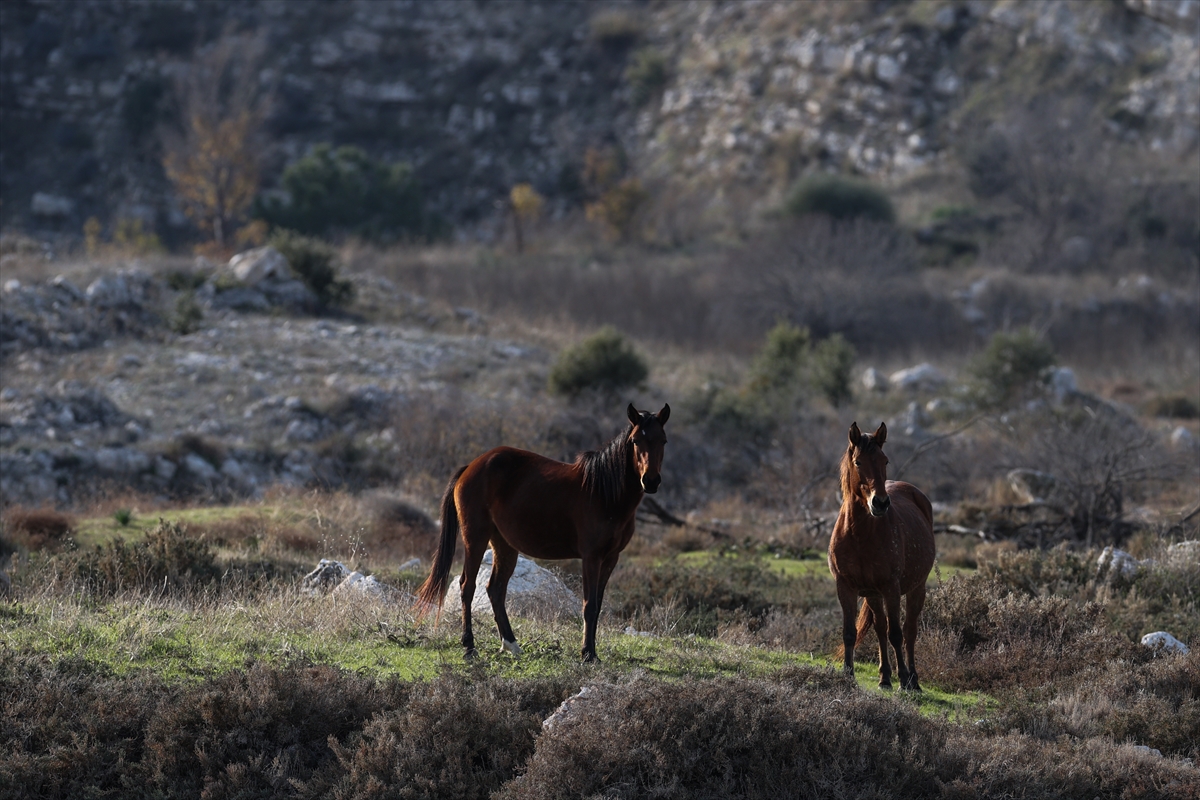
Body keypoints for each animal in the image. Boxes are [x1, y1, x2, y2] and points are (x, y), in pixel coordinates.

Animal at [417, 402, 672, 662]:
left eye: (662, 440)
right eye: (635, 441)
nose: (650, 481)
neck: (605, 494)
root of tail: (470, 467)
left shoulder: (611, 558)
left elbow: (598, 605)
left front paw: (592, 652)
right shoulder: (591, 557)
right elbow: (589, 605)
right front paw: (587, 654)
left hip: (503, 544)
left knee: (495, 589)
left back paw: (511, 644)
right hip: (475, 538)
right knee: (467, 586)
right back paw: (469, 647)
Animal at [830, 422, 931, 690]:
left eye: (885, 460)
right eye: (858, 462)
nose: (880, 503)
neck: (859, 535)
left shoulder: (891, 587)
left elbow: (897, 633)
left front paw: (904, 678)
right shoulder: (845, 587)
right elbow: (850, 632)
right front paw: (848, 675)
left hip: (916, 588)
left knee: (908, 630)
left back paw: (913, 679)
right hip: (873, 595)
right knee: (880, 628)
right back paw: (885, 677)